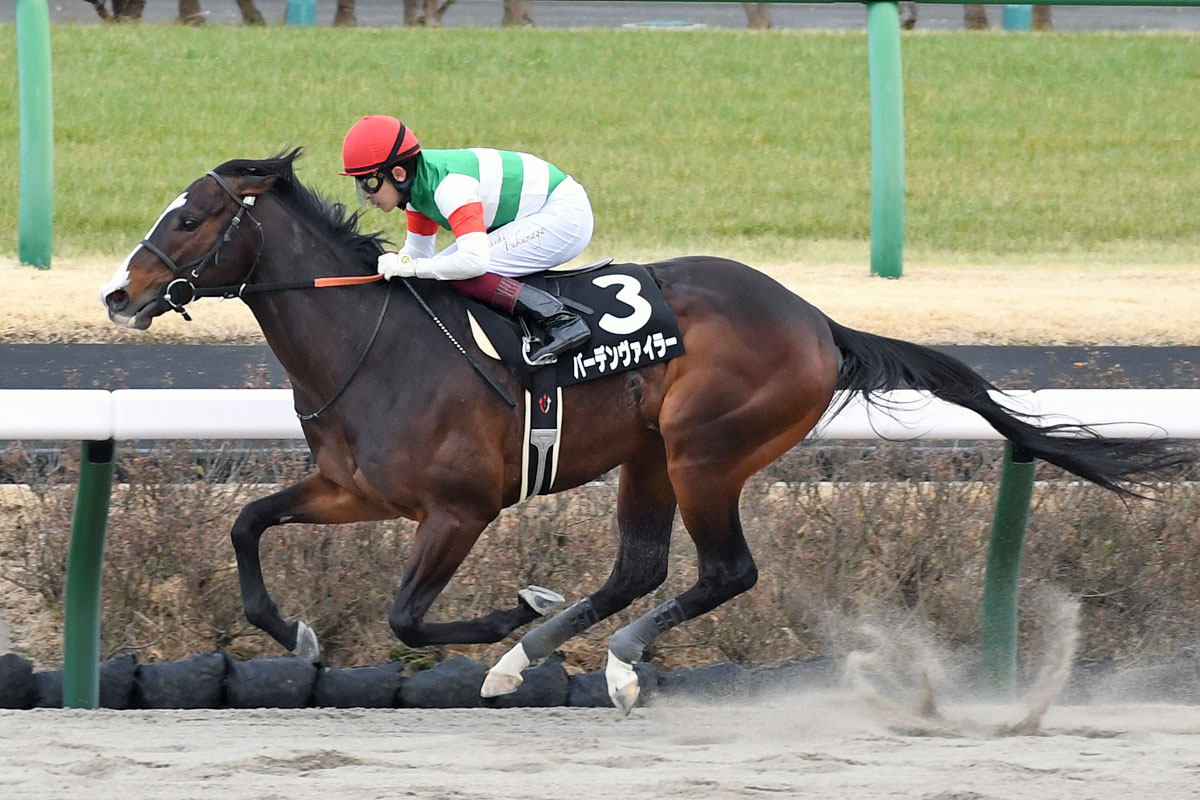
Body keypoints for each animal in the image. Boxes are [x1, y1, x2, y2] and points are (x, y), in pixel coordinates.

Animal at [103, 151, 1190, 714]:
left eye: (193, 216)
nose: (120, 291)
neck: (372, 341)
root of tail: (816, 320)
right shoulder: (354, 488)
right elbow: (246, 523)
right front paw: (293, 629)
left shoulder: (458, 507)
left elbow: (410, 616)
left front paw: (507, 611)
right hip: (649, 455)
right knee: (640, 566)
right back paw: (550, 652)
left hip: (704, 447)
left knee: (722, 570)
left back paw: (598, 656)